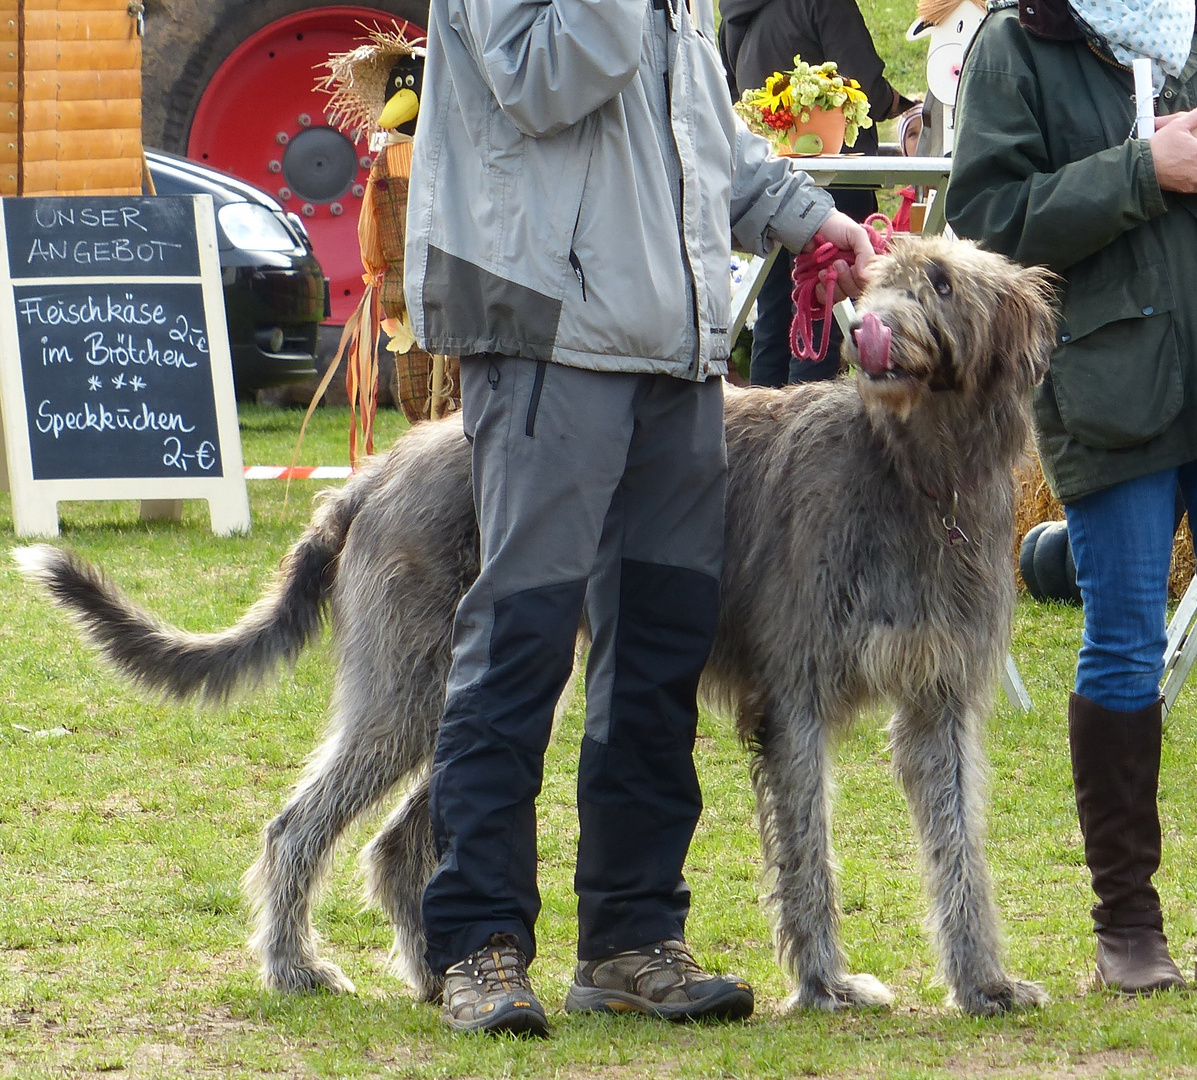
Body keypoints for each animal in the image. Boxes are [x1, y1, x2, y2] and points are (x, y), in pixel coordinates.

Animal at [18, 234, 1058, 1015]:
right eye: (876, 276)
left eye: (939, 280)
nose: (863, 325)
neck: (913, 471)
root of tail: (373, 475)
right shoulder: (792, 699)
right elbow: (807, 856)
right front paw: (825, 985)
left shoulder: (938, 701)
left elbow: (959, 851)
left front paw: (984, 984)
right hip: (418, 684)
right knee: (295, 826)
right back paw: (296, 967)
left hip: (461, 691)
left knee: (395, 844)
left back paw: (438, 975)